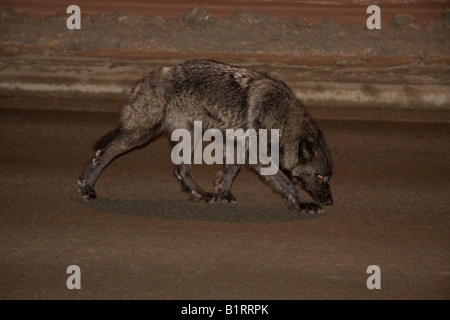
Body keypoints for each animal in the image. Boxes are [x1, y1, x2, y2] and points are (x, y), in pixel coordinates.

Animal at [77, 60, 332, 215]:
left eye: (327, 177)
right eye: (320, 176)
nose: (331, 202)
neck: (281, 118)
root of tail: (145, 79)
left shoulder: (239, 147)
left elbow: (230, 171)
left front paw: (223, 193)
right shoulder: (259, 157)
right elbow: (286, 182)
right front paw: (303, 204)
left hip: (189, 137)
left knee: (181, 170)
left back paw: (199, 193)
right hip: (141, 134)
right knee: (102, 154)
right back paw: (87, 187)